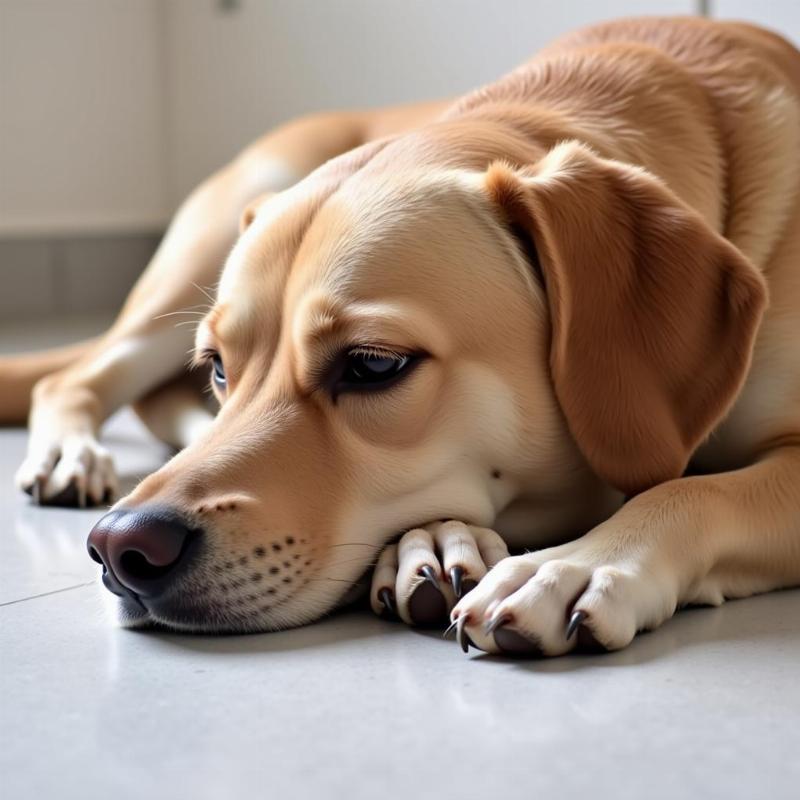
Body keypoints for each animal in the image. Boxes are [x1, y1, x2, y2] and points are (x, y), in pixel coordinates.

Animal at [1, 17, 800, 656]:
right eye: (220, 366)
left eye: (373, 365)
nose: (120, 546)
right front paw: (441, 540)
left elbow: (691, 494)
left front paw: (571, 565)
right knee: (81, 379)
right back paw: (74, 454)